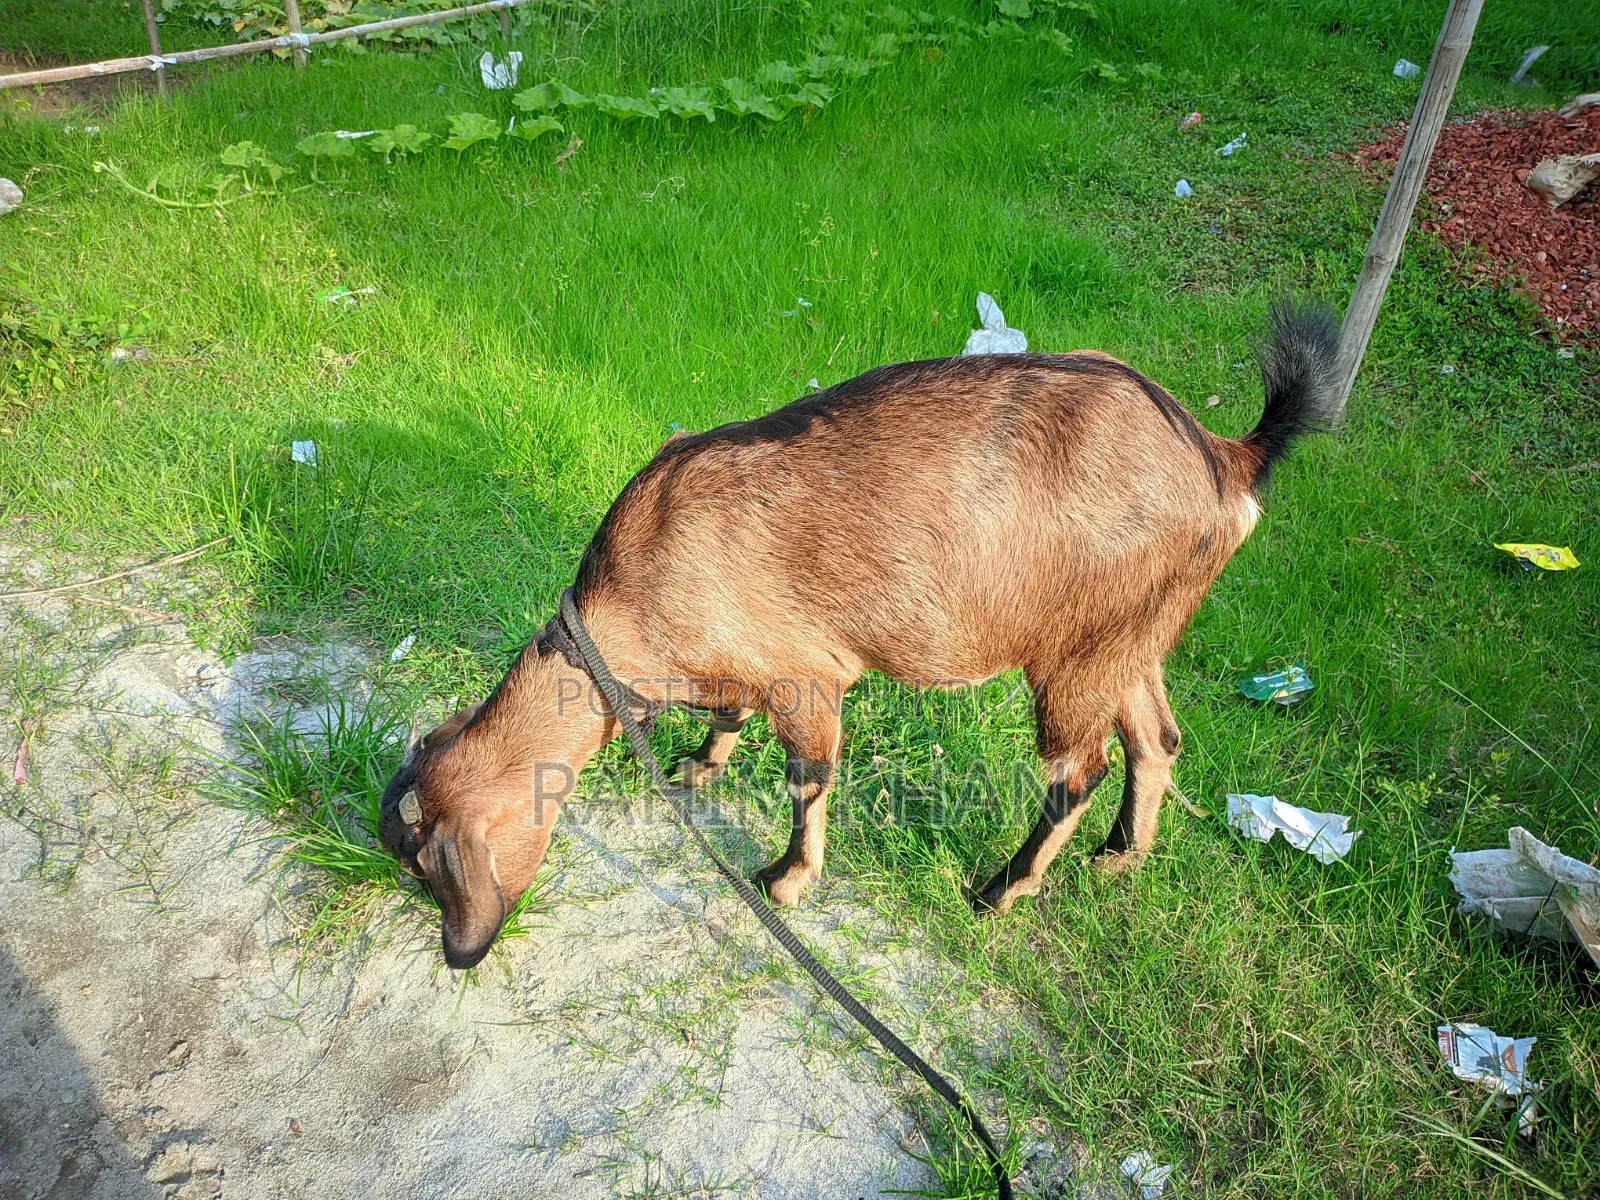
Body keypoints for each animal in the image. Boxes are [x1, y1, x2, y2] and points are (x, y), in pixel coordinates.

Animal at [380, 301, 1341, 968]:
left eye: (424, 868)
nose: (458, 953)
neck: (626, 610)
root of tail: (1225, 457)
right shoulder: (743, 665)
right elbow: (727, 715)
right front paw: (698, 765)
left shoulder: (807, 677)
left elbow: (809, 777)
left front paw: (787, 879)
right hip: (1129, 636)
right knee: (1155, 741)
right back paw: (1118, 859)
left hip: (1074, 655)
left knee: (1080, 770)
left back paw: (1001, 889)